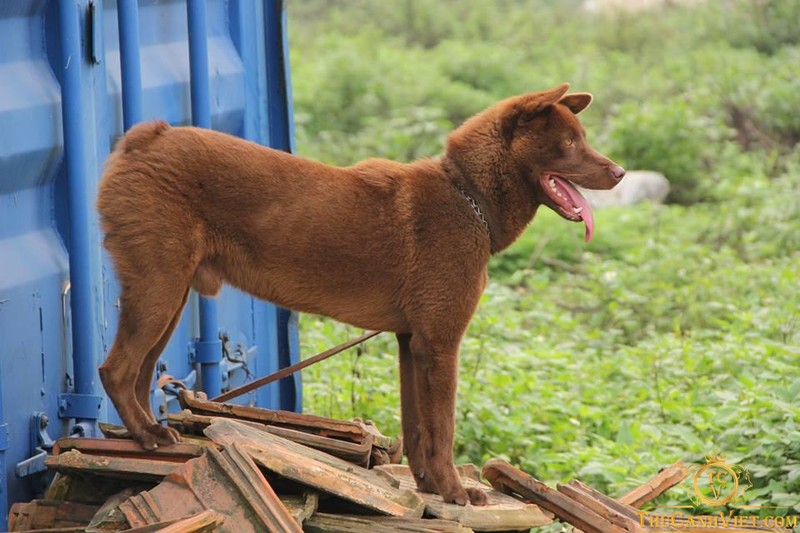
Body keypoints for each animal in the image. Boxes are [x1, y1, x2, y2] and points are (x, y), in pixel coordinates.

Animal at [97, 82, 624, 502]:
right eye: (570, 143)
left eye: (582, 139)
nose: (619, 172)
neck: (467, 196)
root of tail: (148, 137)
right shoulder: (441, 345)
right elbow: (443, 429)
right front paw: (457, 492)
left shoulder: (412, 344)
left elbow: (417, 430)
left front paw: (431, 487)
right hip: (159, 290)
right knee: (115, 370)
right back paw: (147, 436)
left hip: (168, 298)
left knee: (140, 375)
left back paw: (147, 433)